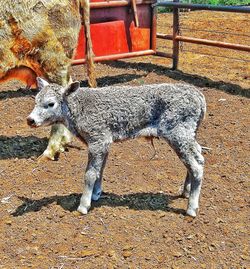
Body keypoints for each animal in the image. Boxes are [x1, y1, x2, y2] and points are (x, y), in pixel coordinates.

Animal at [27, 78, 207, 217]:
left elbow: (90, 174)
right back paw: (186, 191)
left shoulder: (97, 139)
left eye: (50, 104)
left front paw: (83, 205)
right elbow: (100, 170)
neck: (77, 110)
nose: (30, 120)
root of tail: (198, 96)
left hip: (177, 132)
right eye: (36, 101)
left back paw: (192, 208)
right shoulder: (104, 141)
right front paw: (96, 194)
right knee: (198, 156)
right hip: (188, 133)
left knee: (196, 166)